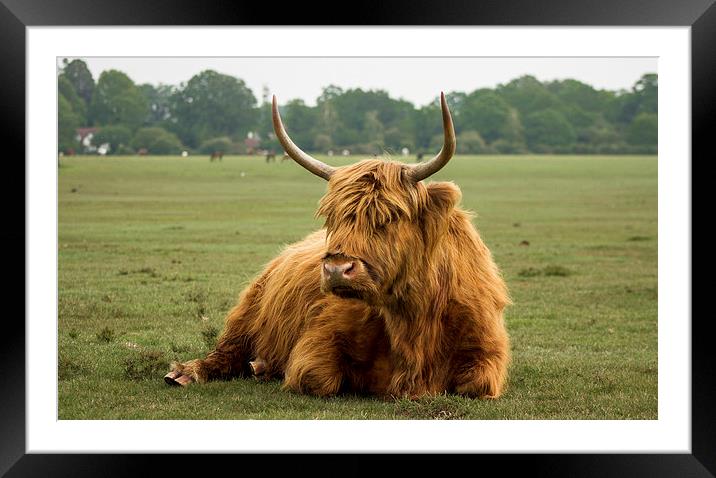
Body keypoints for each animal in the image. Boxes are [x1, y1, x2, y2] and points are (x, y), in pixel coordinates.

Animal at [164, 93, 510, 400]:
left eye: (391, 216)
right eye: (333, 216)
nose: (336, 269)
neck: (413, 317)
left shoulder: (487, 351)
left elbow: (475, 384)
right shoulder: (319, 339)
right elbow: (318, 377)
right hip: (247, 311)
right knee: (226, 351)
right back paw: (189, 373)